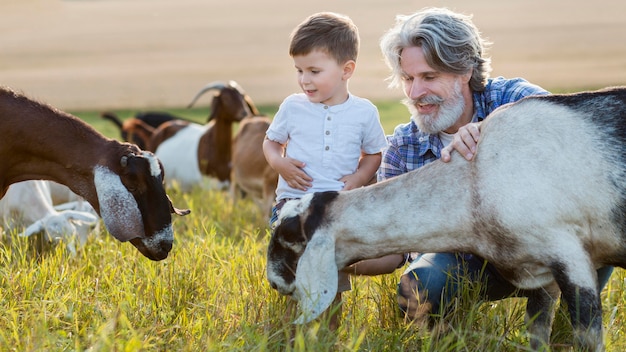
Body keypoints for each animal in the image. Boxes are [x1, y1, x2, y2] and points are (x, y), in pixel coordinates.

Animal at [264, 86, 626, 352]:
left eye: (288, 238)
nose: (274, 282)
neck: (474, 181)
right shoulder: (541, 275)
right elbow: (535, 336)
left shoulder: (571, 258)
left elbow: (587, 338)